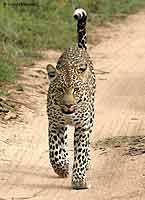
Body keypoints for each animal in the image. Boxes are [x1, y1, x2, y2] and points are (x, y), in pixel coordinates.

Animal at [46, 7, 95, 189]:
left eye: (76, 91)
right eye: (60, 90)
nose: (68, 105)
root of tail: (78, 48)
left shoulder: (83, 125)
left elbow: (81, 152)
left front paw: (79, 181)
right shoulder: (55, 123)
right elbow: (54, 150)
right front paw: (62, 167)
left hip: (91, 117)